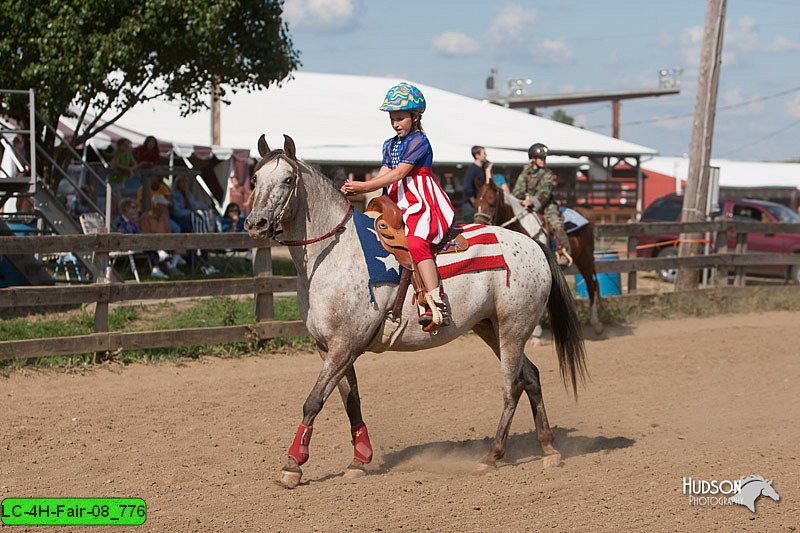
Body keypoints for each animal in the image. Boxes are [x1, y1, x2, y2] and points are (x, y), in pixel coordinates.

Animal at [244, 135, 588, 488]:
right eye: (254, 179)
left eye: (288, 180)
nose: (256, 224)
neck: (336, 255)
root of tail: (534, 246)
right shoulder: (329, 348)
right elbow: (351, 401)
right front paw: (360, 459)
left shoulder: (345, 345)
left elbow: (313, 400)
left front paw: (293, 465)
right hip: (491, 329)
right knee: (530, 376)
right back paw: (548, 448)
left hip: (512, 330)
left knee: (512, 386)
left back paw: (492, 456)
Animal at [472, 181, 604, 334]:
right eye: (476, 203)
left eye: (492, 203)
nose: (479, 225)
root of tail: (584, 213)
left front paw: (537, 330)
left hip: (585, 259)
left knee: (591, 285)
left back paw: (596, 324)